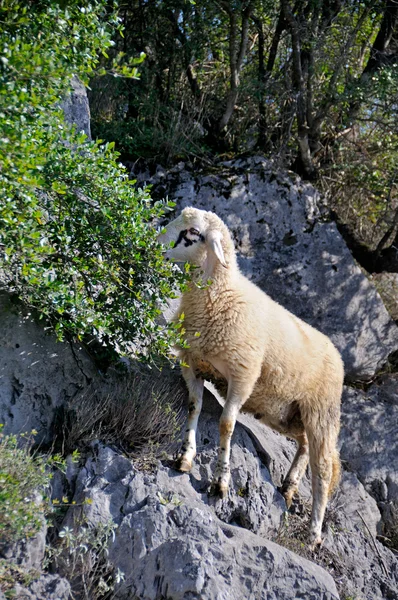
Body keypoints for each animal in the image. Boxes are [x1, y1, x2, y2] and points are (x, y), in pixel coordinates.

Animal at [158, 205, 342, 544]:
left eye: (193, 233)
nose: (155, 244)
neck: (220, 294)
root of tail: (335, 351)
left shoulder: (243, 378)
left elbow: (226, 424)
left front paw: (221, 482)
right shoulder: (192, 363)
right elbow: (193, 407)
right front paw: (186, 458)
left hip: (321, 412)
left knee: (323, 469)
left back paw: (313, 533)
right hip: (287, 413)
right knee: (304, 446)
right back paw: (288, 488)